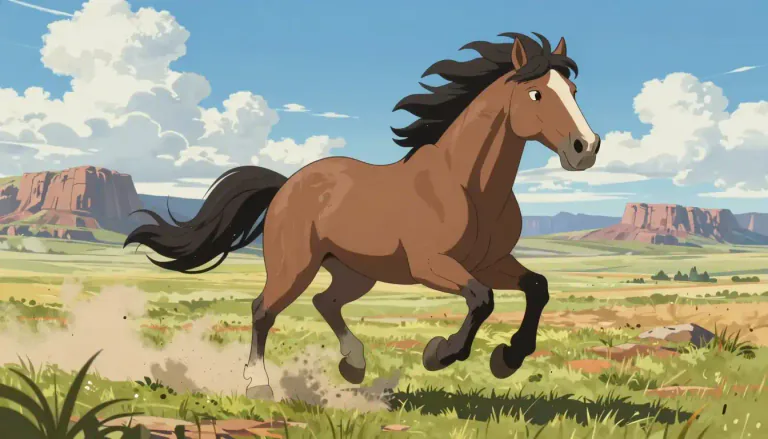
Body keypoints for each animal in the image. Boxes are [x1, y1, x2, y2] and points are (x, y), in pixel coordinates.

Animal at [125, 32, 601, 399]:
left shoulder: (491, 261)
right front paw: (439, 353)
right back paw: (260, 385)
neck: (469, 187)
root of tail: (286, 185)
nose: (586, 148)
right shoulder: (431, 264)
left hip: (356, 272)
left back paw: (353, 364)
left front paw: (508, 357)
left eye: (574, 92)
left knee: (325, 301)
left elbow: (536, 287)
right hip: (294, 266)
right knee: (263, 309)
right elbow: (481, 299)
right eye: (536, 93)